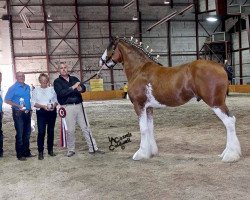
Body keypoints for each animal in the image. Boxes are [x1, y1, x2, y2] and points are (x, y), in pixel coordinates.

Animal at [98, 37, 241, 162]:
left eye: (110, 46)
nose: (101, 61)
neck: (139, 70)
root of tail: (221, 66)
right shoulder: (149, 108)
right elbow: (150, 128)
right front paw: (151, 152)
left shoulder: (139, 105)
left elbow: (143, 129)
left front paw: (141, 154)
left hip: (216, 103)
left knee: (229, 121)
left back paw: (230, 155)